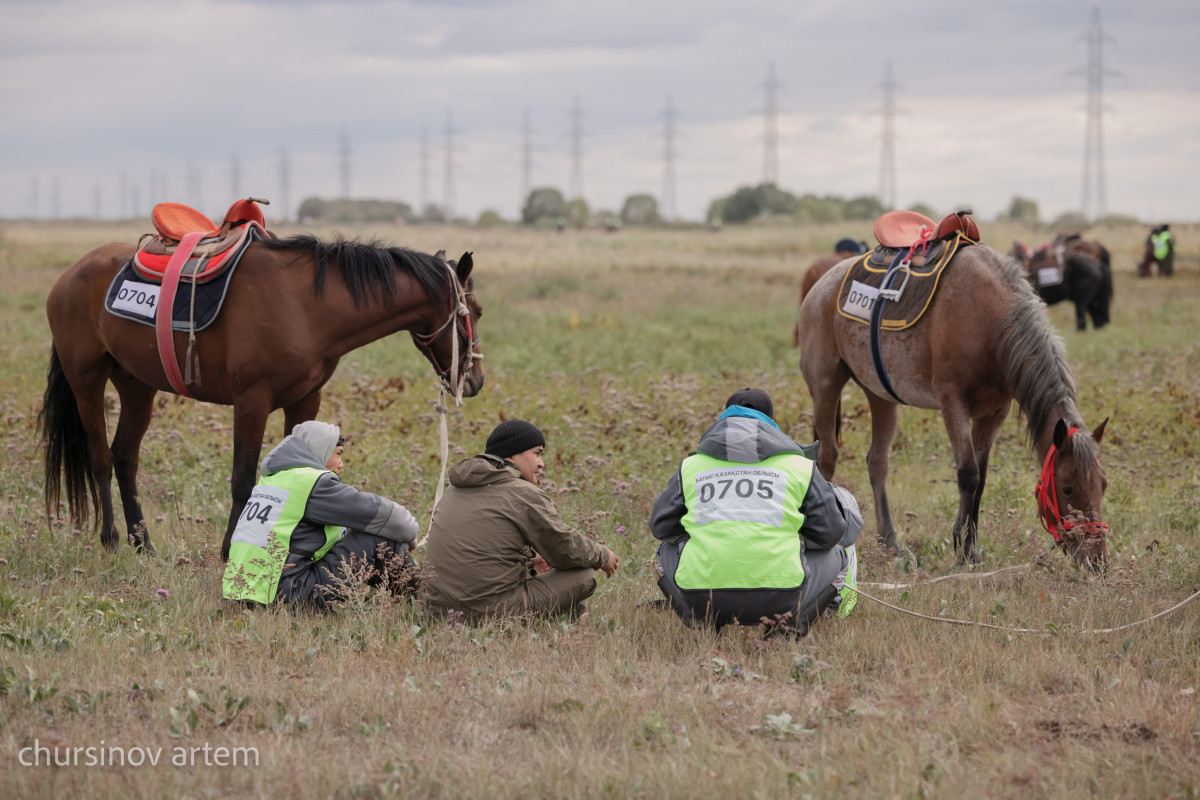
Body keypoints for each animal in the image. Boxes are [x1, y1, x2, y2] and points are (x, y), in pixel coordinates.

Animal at [39, 231, 484, 561]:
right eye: (476, 312)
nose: (475, 380)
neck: (307, 306)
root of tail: (70, 274)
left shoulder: (305, 400)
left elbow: (306, 471)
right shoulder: (251, 401)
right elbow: (242, 479)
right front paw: (228, 550)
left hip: (137, 385)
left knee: (124, 457)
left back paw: (142, 543)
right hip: (87, 381)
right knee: (100, 459)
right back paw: (111, 539)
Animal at [801, 244, 1108, 568]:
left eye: (1103, 485)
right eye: (1067, 488)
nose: (1098, 561)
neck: (990, 322)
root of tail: (820, 284)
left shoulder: (993, 412)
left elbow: (981, 479)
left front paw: (971, 547)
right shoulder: (952, 402)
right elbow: (968, 474)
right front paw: (962, 548)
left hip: (880, 396)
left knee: (877, 462)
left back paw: (890, 543)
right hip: (825, 386)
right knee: (827, 457)